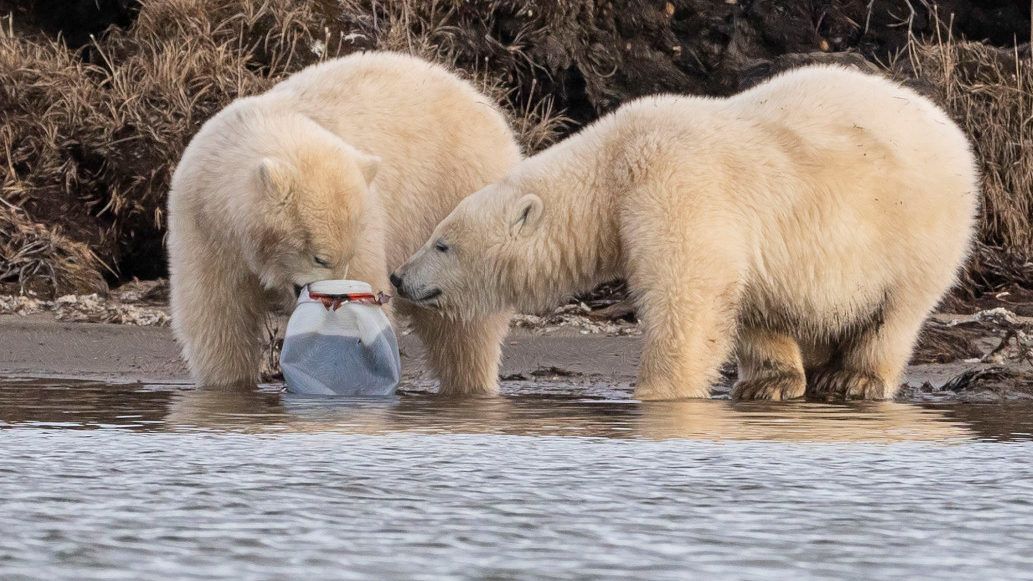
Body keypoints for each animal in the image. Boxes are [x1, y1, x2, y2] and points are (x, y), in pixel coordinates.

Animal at [173, 50, 524, 392]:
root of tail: (492, 112)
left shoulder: (368, 216)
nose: (336, 296)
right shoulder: (205, 226)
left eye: (346, 256)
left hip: (454, 201)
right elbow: (217, 317)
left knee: (465, 329)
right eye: (320, 258)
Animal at [390, 64, 979, 396]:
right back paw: (776, 382)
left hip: (917, 227)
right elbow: (735, 295)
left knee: (897, 311)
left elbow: (687, 293)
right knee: (783, 306)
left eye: (442, 242)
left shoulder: (677, 185)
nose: (399, 277)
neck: (614, 165)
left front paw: (656, 394)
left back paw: (855, 378)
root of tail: (948, 125)